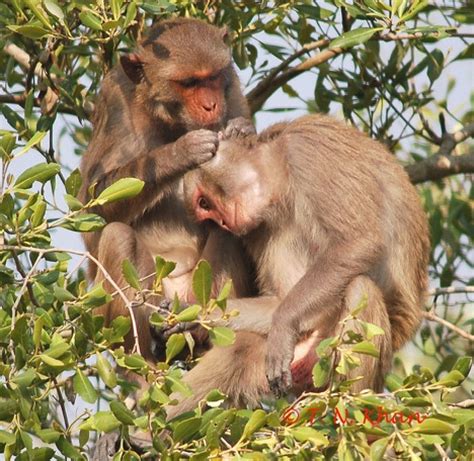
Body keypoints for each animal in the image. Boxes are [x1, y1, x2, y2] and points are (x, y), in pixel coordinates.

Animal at [81, 18, 260, 362]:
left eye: (212, 77)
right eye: (188, 83)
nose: (210, 105)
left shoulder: (232, 89)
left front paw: (243, 132)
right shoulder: (115, 102)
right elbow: (92, 207)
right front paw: (181, 153)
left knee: (229, 230)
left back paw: (200, 331)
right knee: (118, 236)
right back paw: (140, 362)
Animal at [163, 112, 430, 416]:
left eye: (205, 203)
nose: (222, 223)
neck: (281, 174)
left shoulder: (309, 154)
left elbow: (358, 242)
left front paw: (283, 324)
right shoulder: (259, 229)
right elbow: (276, 300)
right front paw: (191, 314)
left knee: (361, 288)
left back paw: (353, 401)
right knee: (242, 347)